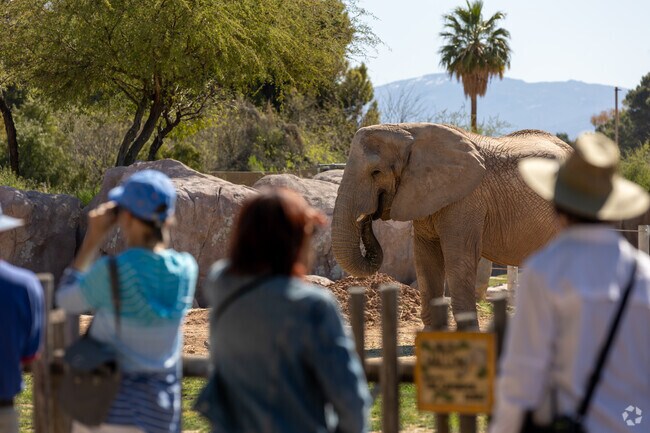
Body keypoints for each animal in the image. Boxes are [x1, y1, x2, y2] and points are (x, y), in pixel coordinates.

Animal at [331, 123, 573, 326]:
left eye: (376, 172)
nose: (367, 215)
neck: (409, 131)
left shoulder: (466, 200)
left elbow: (458, 257)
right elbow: (426, 259)